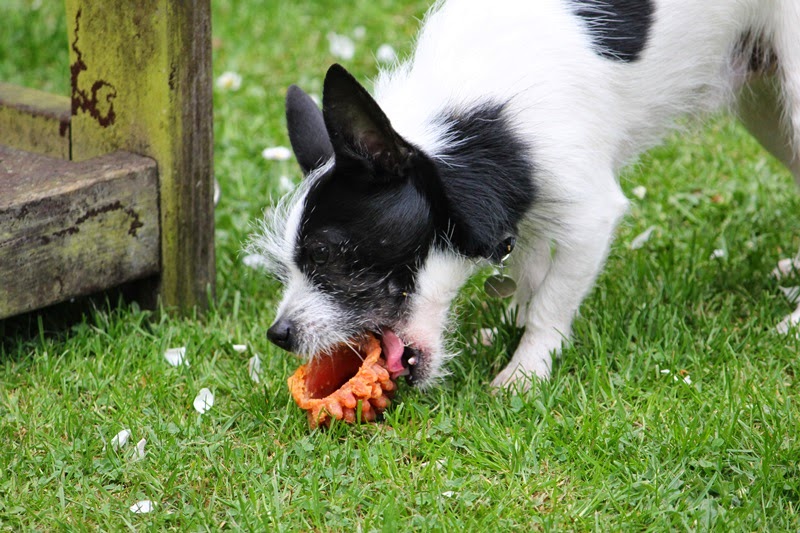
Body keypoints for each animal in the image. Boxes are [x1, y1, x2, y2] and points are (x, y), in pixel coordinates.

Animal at [251, 0, 800, 390]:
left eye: (326, 255)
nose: (279, 335)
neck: (482, 129)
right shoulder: (526, 208)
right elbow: (530, 267)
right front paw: (509, 321)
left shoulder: (591, 215)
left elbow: (551, 301)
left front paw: (525, 369)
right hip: (766, 109)